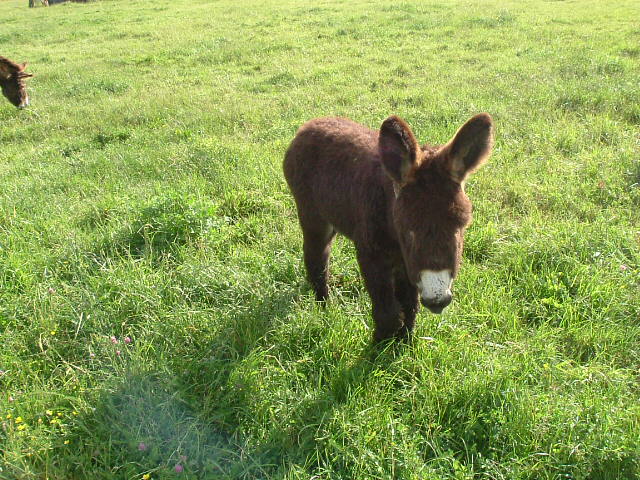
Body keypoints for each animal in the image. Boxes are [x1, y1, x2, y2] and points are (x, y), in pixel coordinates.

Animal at [284, 112, 496, 340]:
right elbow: (387, 312)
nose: (437, 302)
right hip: (313, 216)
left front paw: (405, 340)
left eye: (461, 227)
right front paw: (380, 343)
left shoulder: (407, 263)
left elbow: (409, 305)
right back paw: (324, 306)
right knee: (317, 258)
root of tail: (311, 124)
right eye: (408, 230)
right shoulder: (371, 255)